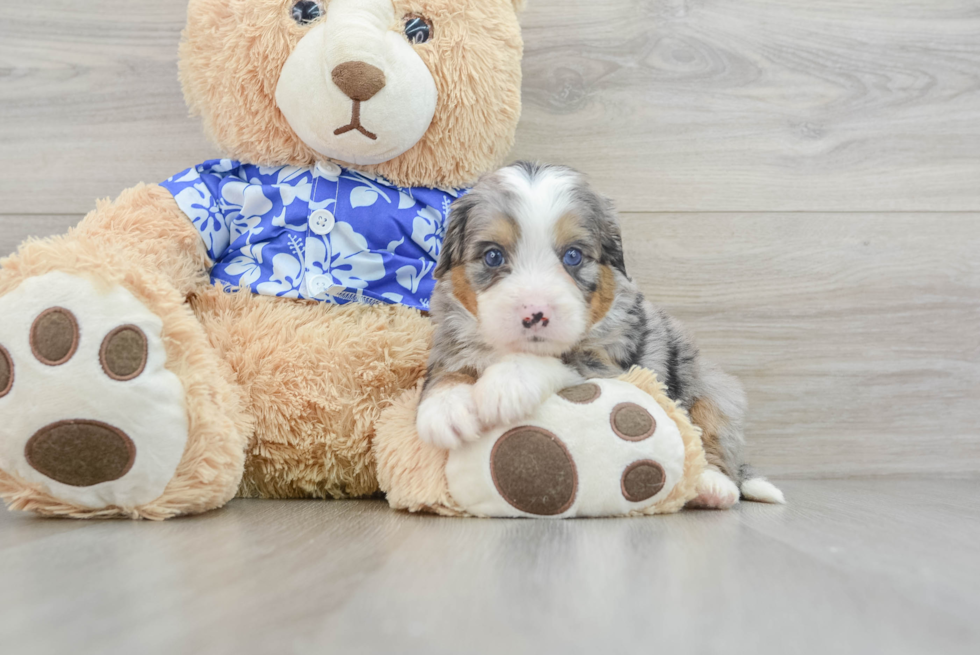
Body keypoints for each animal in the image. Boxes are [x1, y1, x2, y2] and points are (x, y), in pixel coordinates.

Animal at [418, 161, 784, 510]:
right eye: (493, 255)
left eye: (573, 255)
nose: (535, 314)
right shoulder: (451, 339)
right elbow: (447, 372)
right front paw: (446, 409)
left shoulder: (614, 367)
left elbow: (560, 362)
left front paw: (507, 384)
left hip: (714, 390)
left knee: (714, 443)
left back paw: (712, 487)